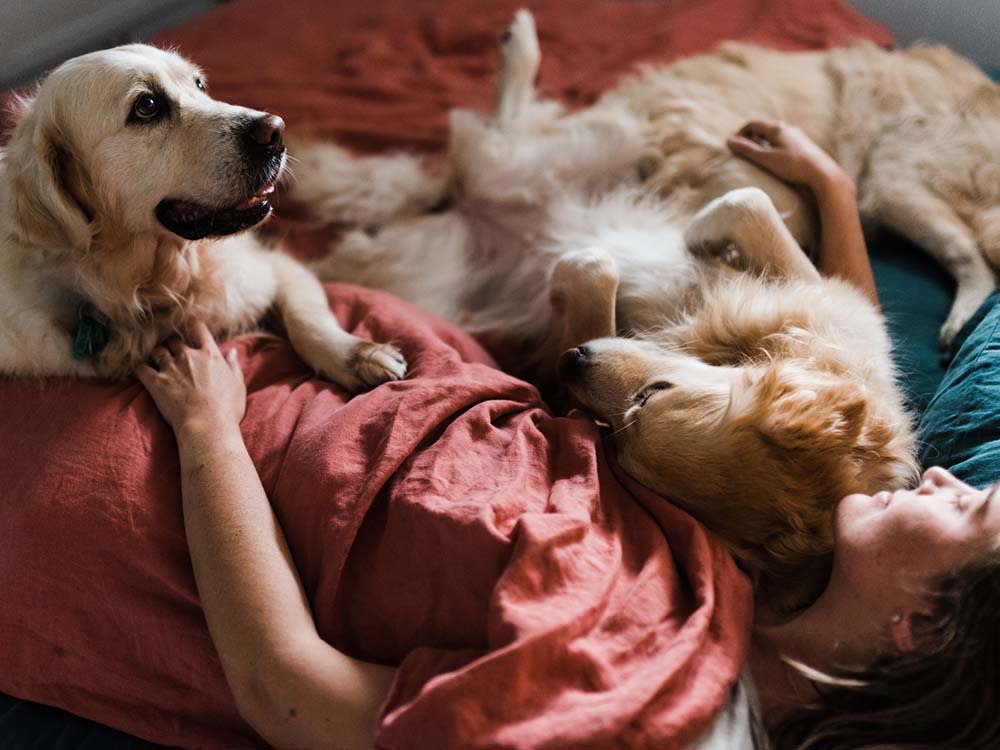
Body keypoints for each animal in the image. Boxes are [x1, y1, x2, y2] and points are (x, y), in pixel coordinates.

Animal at [0, 45, 406, 394]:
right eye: (147, 106)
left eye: (199, 85)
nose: (275, 129)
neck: (153, 283)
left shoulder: (268, 267)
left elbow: (307, 319)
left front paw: (357, 355)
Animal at [296, 11, 920, 612]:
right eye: (656, 390)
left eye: (620, 442)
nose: (572, 359)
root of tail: (473, 207)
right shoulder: (818, 292)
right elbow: (753, 201)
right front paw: (698, 234)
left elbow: (599, 268)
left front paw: (574, 270)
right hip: (611, 140)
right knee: (486, 141)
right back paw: (517, 48)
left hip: (431, 276)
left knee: (460, 164)